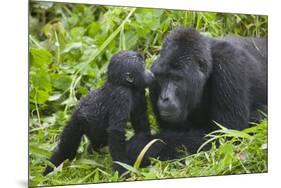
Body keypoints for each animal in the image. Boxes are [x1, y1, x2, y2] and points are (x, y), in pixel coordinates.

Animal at [126, 26, 266, 166]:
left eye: (177, 79)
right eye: (162, 78)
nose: (165, 98)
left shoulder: (229, 65)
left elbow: (225, 136)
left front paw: (141, 145)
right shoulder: (153, 76)